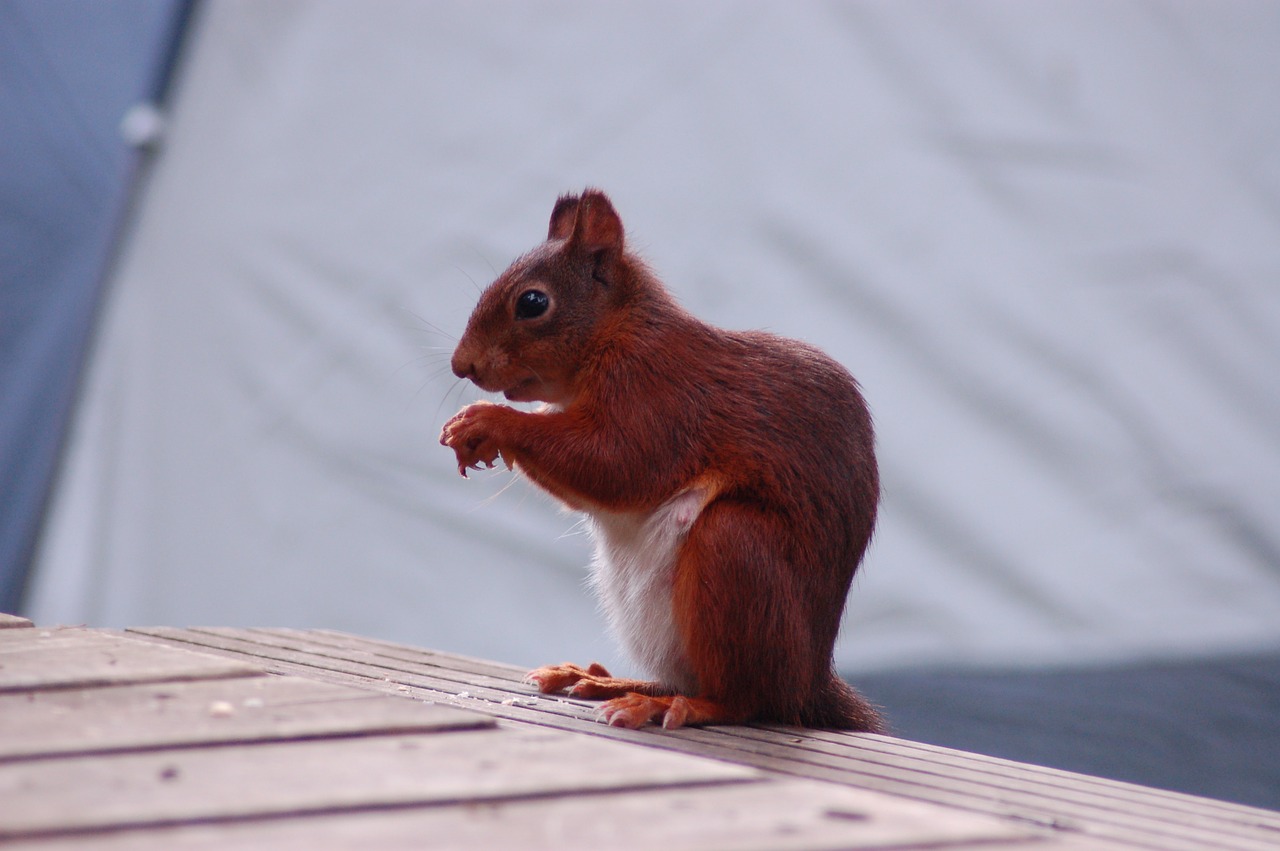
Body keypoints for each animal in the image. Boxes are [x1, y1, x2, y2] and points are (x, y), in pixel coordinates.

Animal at [440, 188, 880, 731]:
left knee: (748, 699)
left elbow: (618, 464)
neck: (617, 333)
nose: (461, 365)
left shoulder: (659, 399)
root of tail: (810, 683)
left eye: (533, 303)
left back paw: (675, 705)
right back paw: (612, 683)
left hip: (735, 550)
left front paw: (487, 420)